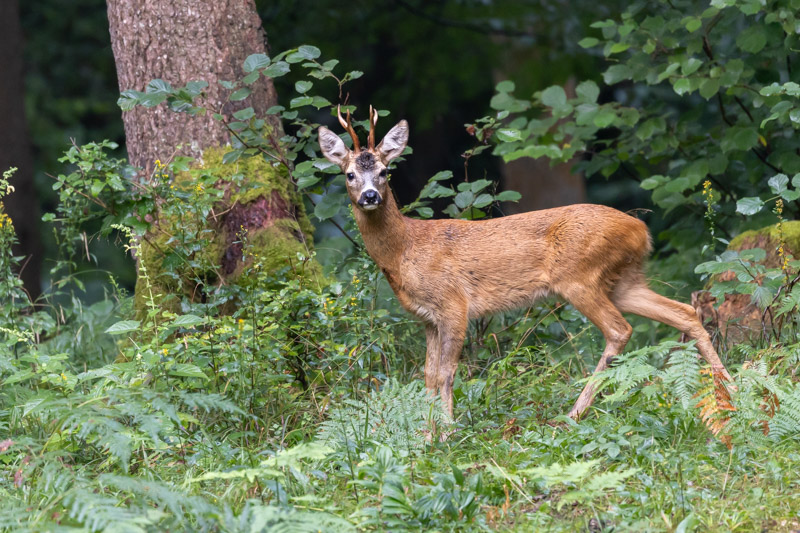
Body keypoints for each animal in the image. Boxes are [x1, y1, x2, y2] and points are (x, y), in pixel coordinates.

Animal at [318, 106, 732, 418]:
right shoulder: (427, 318)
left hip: (579, 277)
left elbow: (448, 373)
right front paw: (425, 436)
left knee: (620, 330)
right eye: (349, 174)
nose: (370, 196)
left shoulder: (454, 304)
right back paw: (729, 390)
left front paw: (445, 435)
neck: (406, 249)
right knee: (683, 312)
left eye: (385, 171)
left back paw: (574, 413)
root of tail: (641, 230)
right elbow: (428, 377)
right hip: (624, 280)